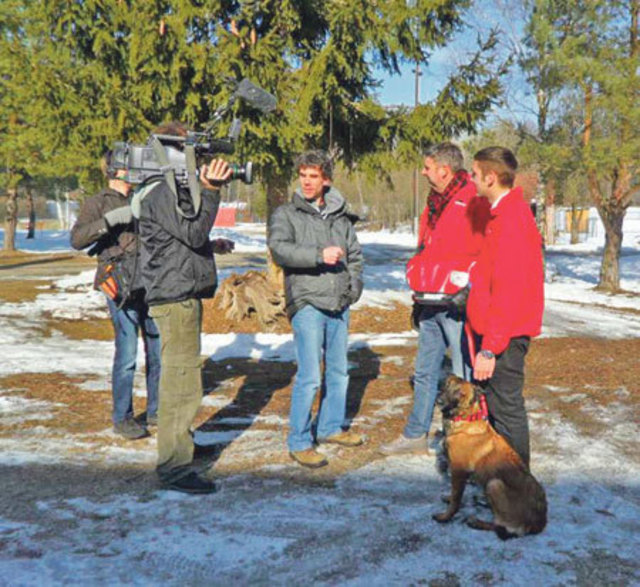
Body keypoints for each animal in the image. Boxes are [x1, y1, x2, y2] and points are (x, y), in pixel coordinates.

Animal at [432, 374, 548, 540]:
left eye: (459, 393)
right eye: (447, 385)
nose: (439, 400)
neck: (465, 418)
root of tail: (539, 522)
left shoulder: (458, 471)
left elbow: (456, 499)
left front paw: (445, 517)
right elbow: (454, 493)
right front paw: (448, 498)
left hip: (494, 484)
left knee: (503, 527)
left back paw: (476, 522)